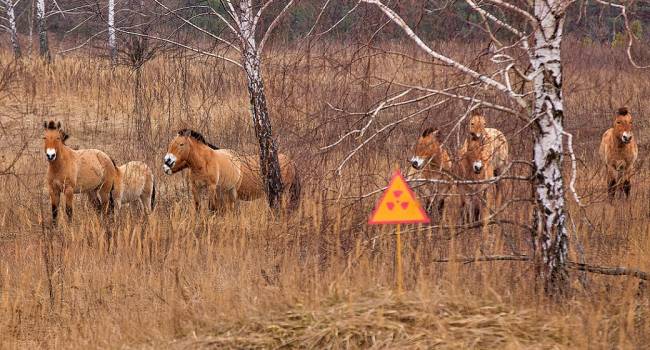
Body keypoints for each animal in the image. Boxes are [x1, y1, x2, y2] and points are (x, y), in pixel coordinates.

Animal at [162, 129, 298, 211]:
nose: (167, 161)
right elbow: (198, 207)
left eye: (181, 144)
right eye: (170, 143)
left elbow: (212, 208)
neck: (204, 162)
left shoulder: (212, 188)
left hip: (282, 192)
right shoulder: (195, 187)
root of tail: (290, 161)